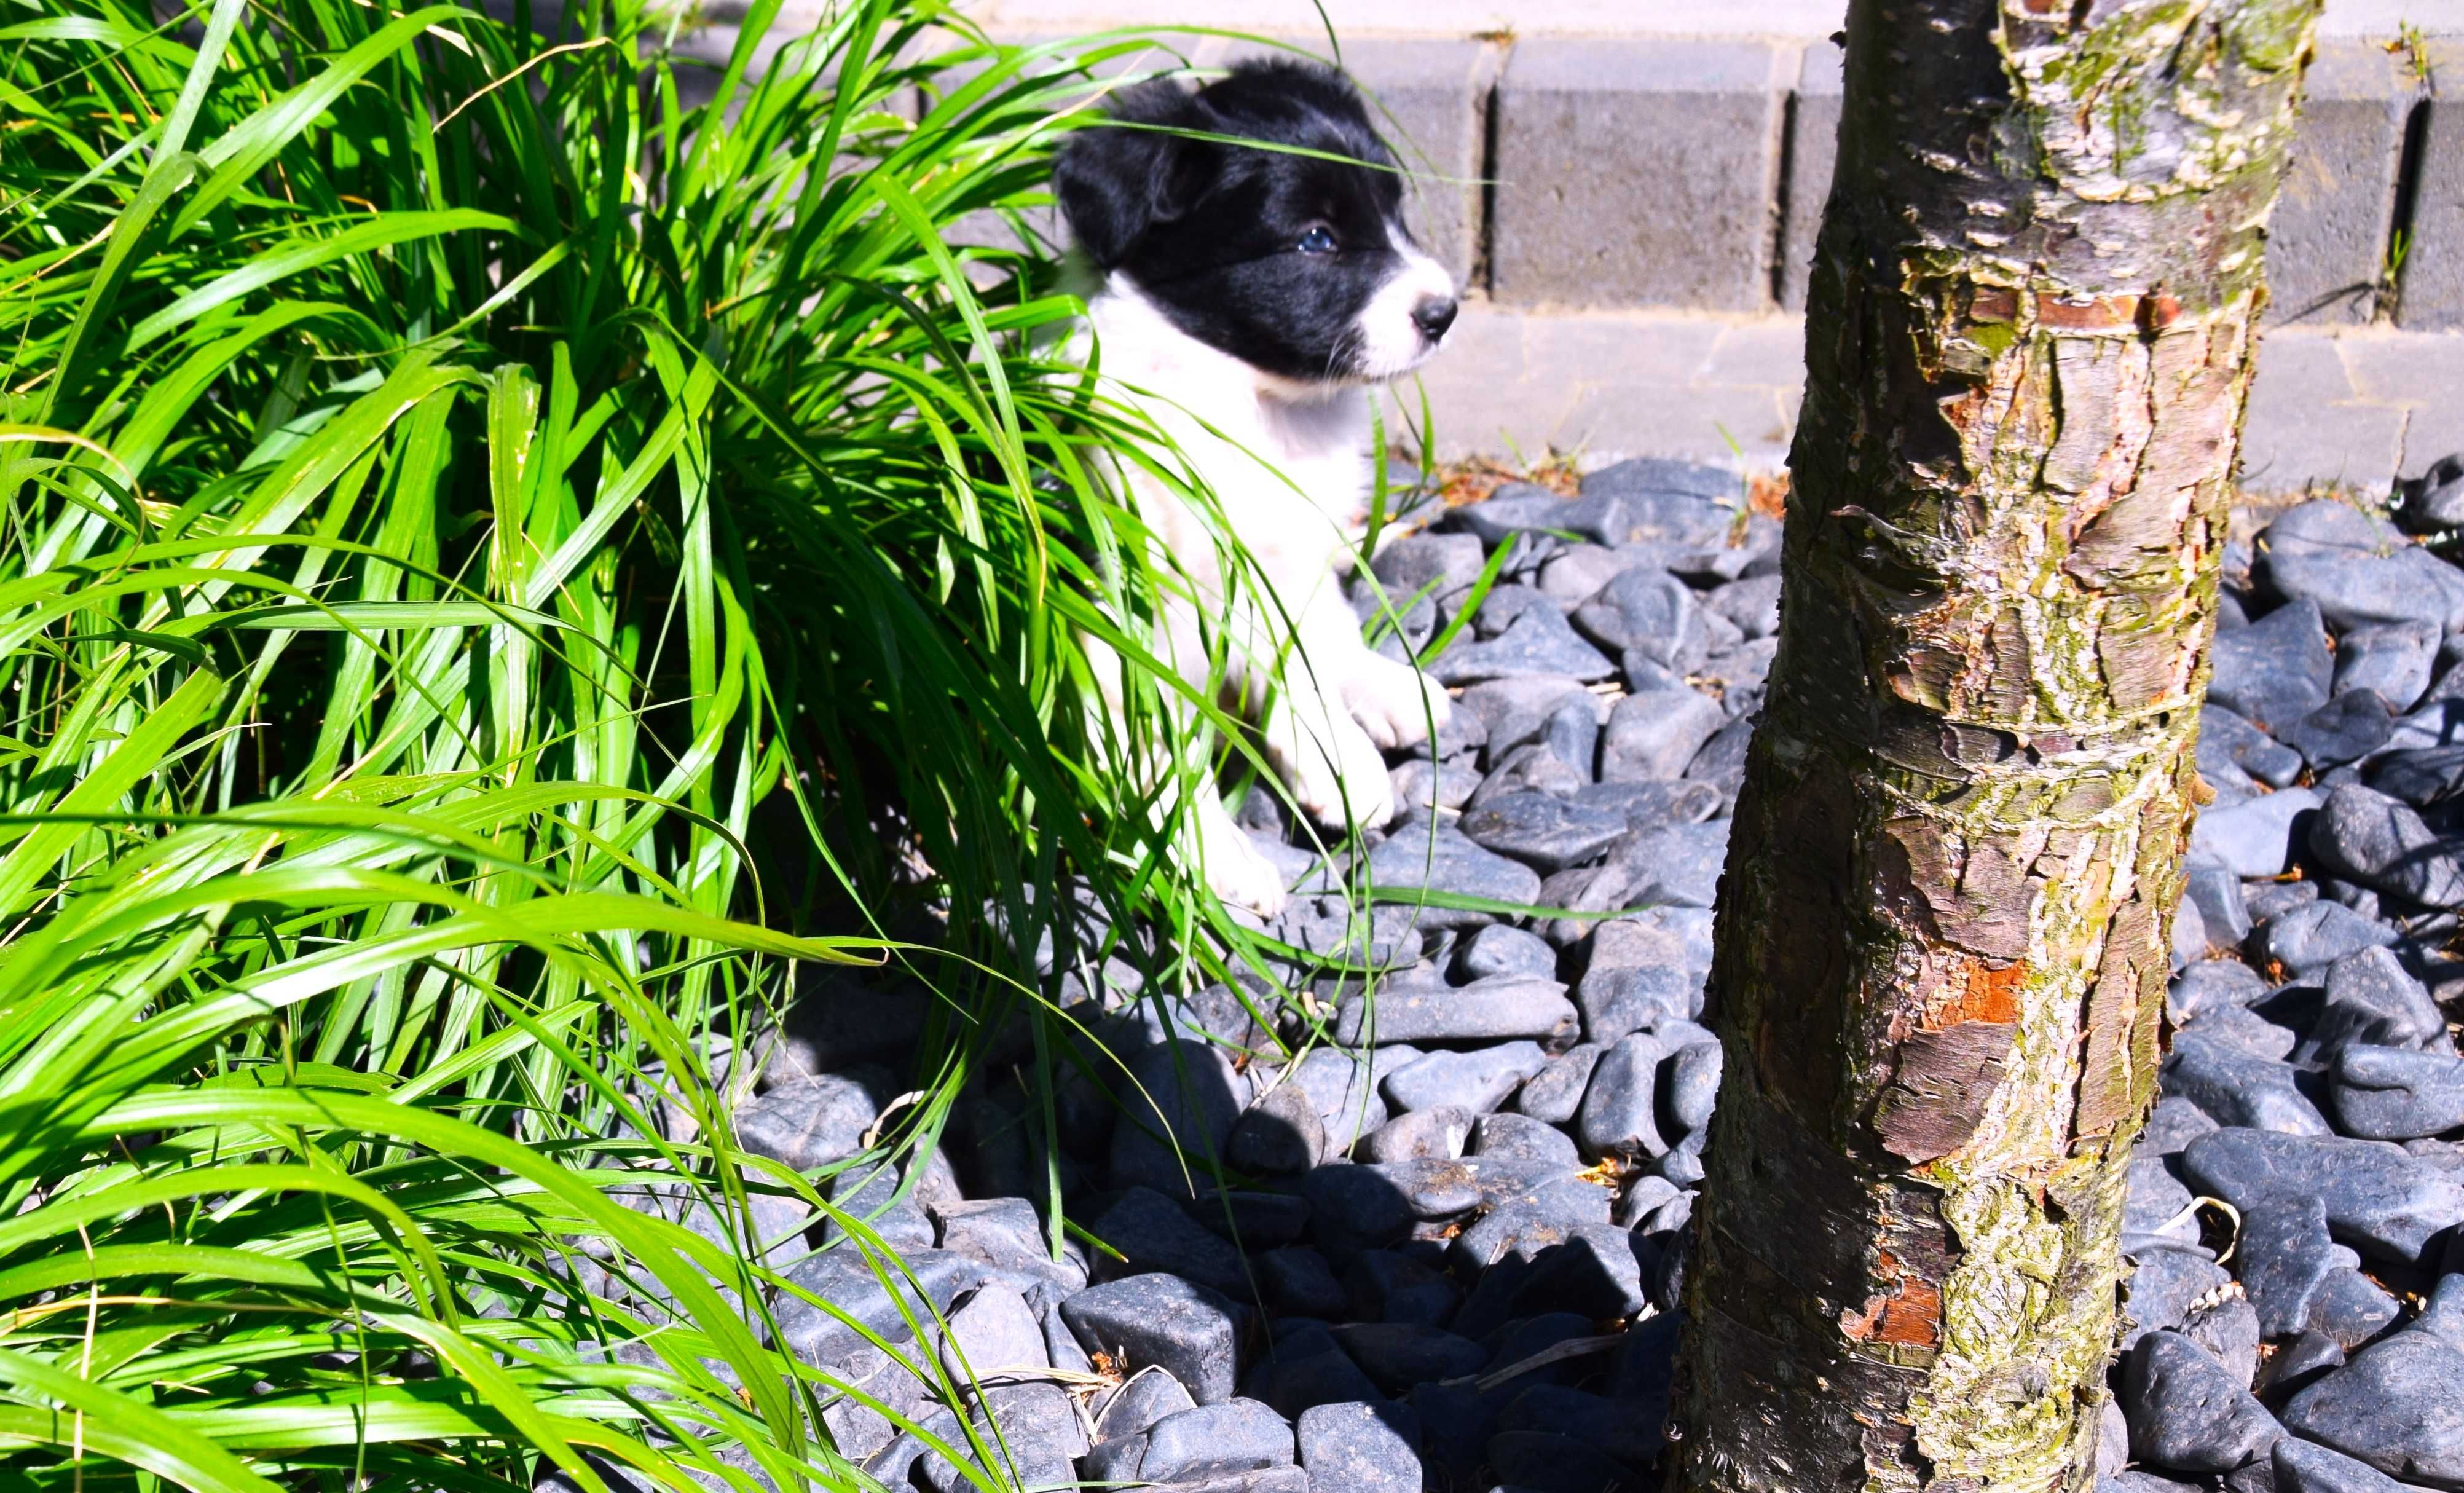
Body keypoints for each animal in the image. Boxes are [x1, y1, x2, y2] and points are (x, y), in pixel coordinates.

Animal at [1054, 64, 1458, 916]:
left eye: (1394, 212)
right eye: (1316, 240)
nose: (1444, 313)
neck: (1248, 402)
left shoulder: (1279, 568)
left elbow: (1304, 668)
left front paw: (1340, 765)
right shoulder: (1118, 620)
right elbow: (1160, 753)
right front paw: (1218, 856)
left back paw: (1390, 688)